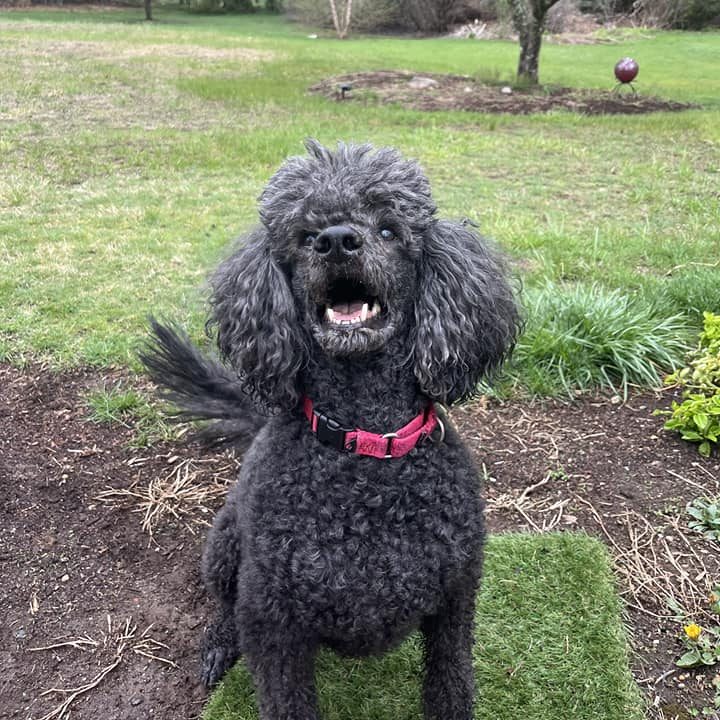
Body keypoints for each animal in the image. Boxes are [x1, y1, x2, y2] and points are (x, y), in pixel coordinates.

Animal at [141, 140, 520, 720]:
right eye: (302, 235)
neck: (362, 453)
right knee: (225, 607)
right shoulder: (273, 622)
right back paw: (219, 646)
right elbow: (283, 696)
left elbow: (450, 683)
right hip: (226, 548)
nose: (337, 240)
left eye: (388, 229)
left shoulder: (455, 602)